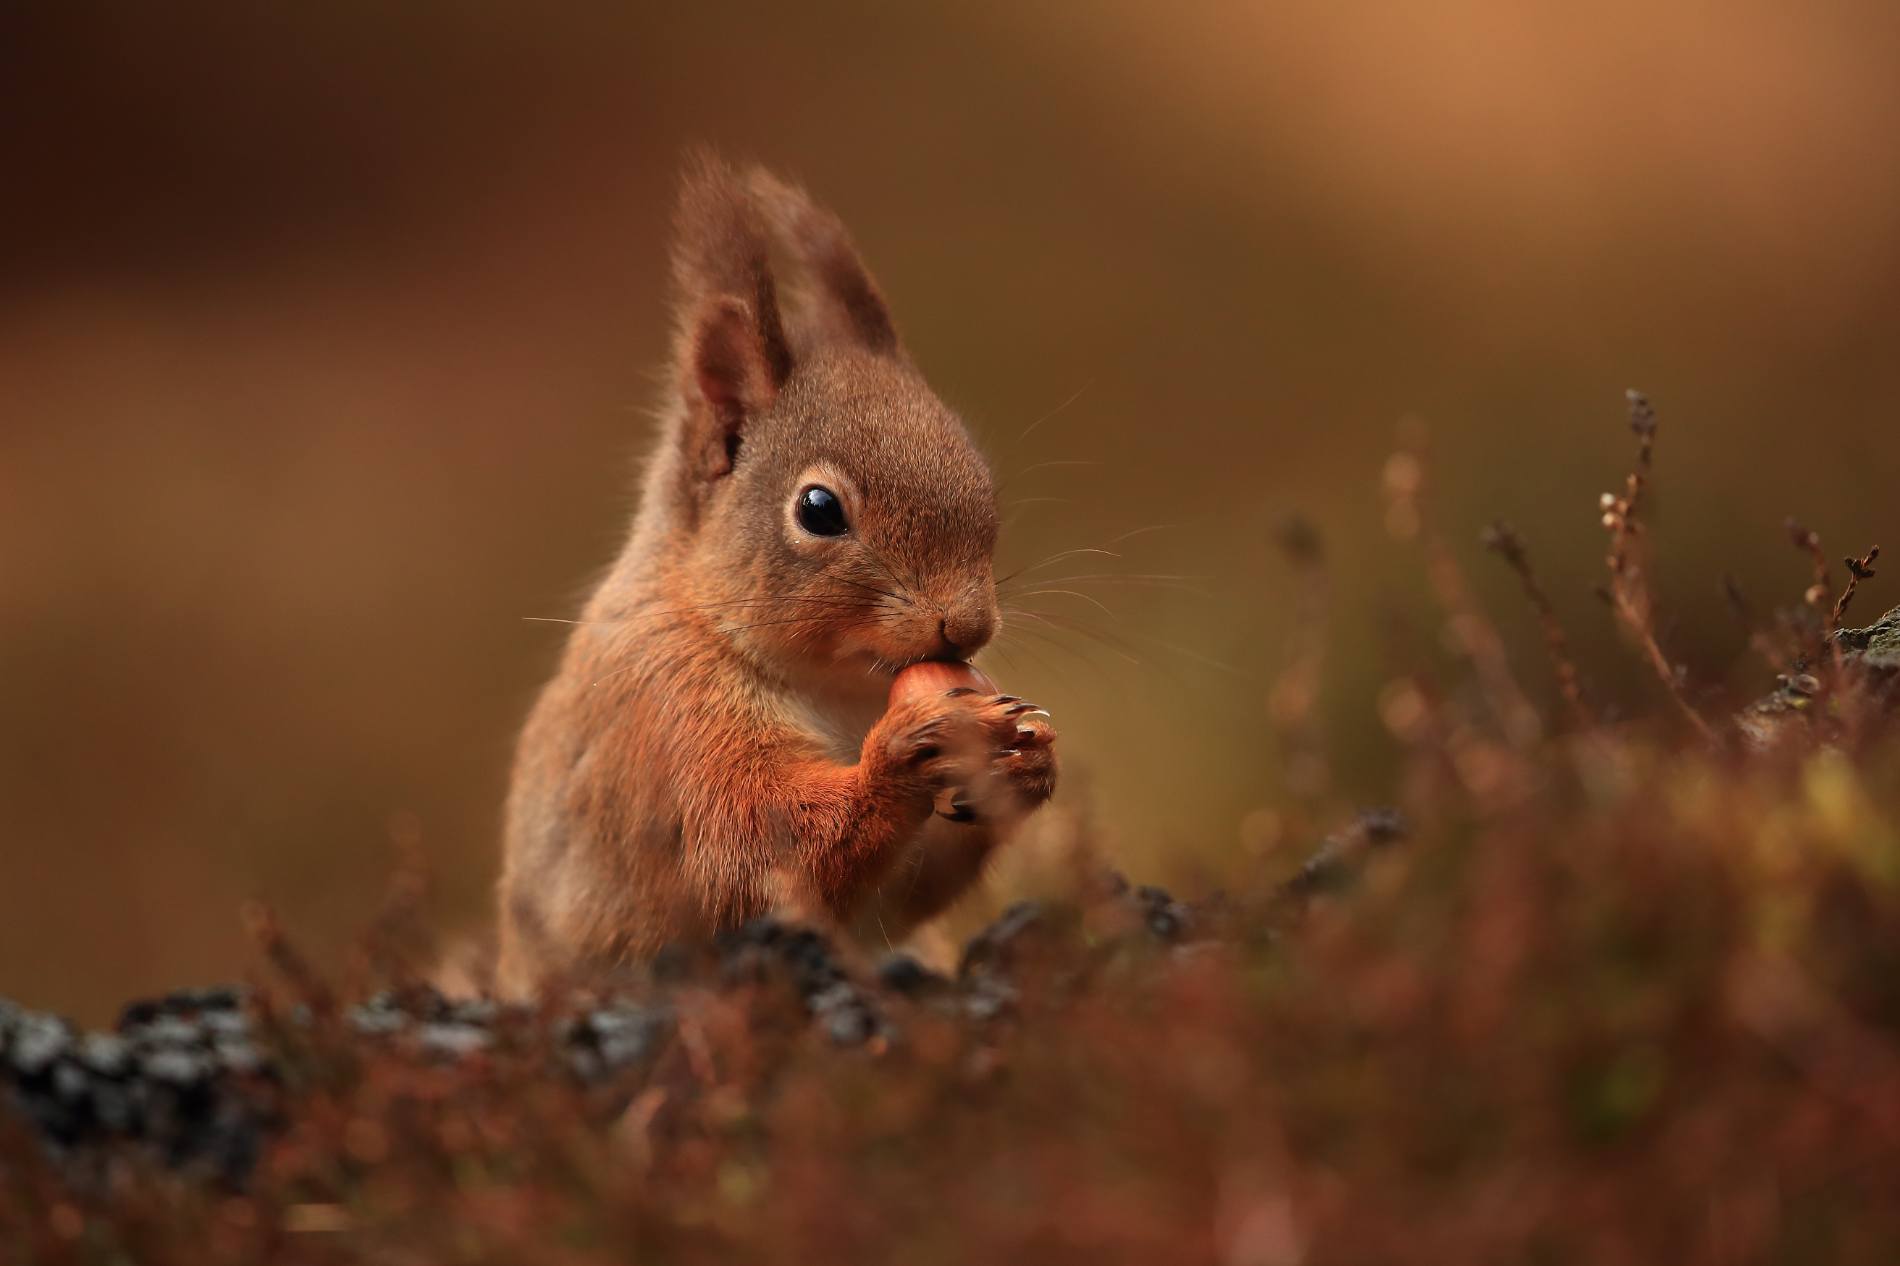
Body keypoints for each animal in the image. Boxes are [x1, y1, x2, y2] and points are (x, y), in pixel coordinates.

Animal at [495, 153, 1058, 994]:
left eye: (978, 471)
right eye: (819, 509)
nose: (967, 626)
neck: (839, 690)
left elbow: (903, 894)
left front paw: (1030, 764)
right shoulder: (673, 721)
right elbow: (759, 852)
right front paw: (905, 755)